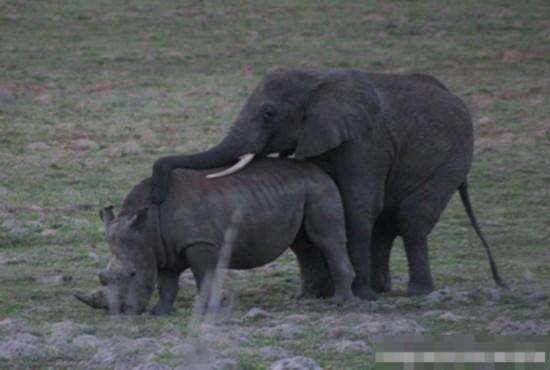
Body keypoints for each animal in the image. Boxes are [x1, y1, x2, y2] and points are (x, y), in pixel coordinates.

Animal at [75, 159, 356, 316]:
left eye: (132, 274)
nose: (121, 313)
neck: (148, 225)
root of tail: (318, 170)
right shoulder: (162, 248)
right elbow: (167, 282)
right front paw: (161, 313)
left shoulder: (199, 242)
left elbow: (204, 275)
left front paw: (203, 312)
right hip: (301, 190)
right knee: (303, 246)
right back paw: (303, 298)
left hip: (319, 188)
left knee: (327, 241)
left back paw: (340, 303)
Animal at [151, 68, 508, 300]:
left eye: (269, 113)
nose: (157, 190)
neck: (318, 80)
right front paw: (315, 297)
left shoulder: (365, 139)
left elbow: (359, 203)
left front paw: (356, 296)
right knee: (387, 224)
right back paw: (382, 290)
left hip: (449, 159)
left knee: (412, 220)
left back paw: (413, 293)